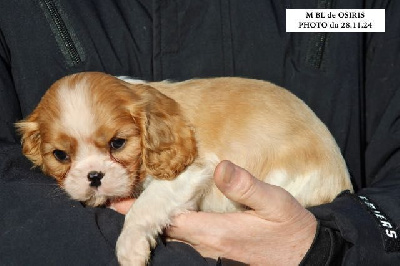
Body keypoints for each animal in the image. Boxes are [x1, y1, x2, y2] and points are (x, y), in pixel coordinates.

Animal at [16, 71, 354, 264]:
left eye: (117, 143)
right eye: (60, 155)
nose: (94, 176)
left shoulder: (191, 172)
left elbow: (145, 206)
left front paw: (129, 247)